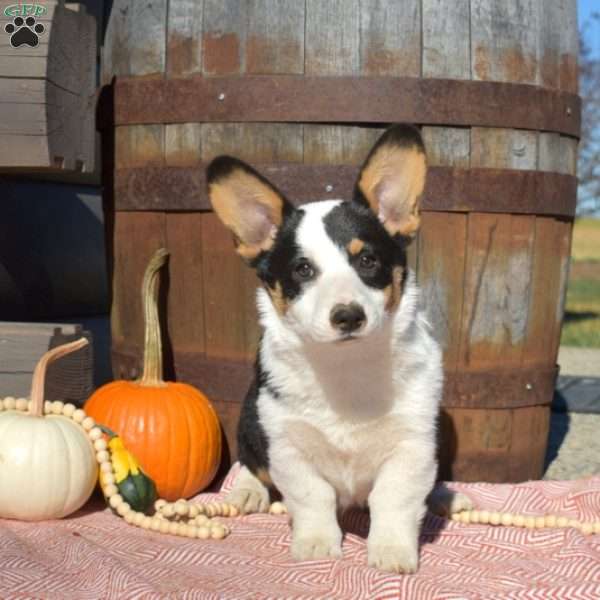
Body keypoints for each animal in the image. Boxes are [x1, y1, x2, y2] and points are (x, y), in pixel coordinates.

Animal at [209, 125, 472, 572]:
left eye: (367, 260)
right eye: (302, 269)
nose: (348, 316)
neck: (345, 365)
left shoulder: (412, 447)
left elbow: (395, 500)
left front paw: (391, 551)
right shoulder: (289, 447)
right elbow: (313, 498)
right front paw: (317, 544)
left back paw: (447, 497)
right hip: (250, 418)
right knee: (250, 462)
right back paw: (247, 490)